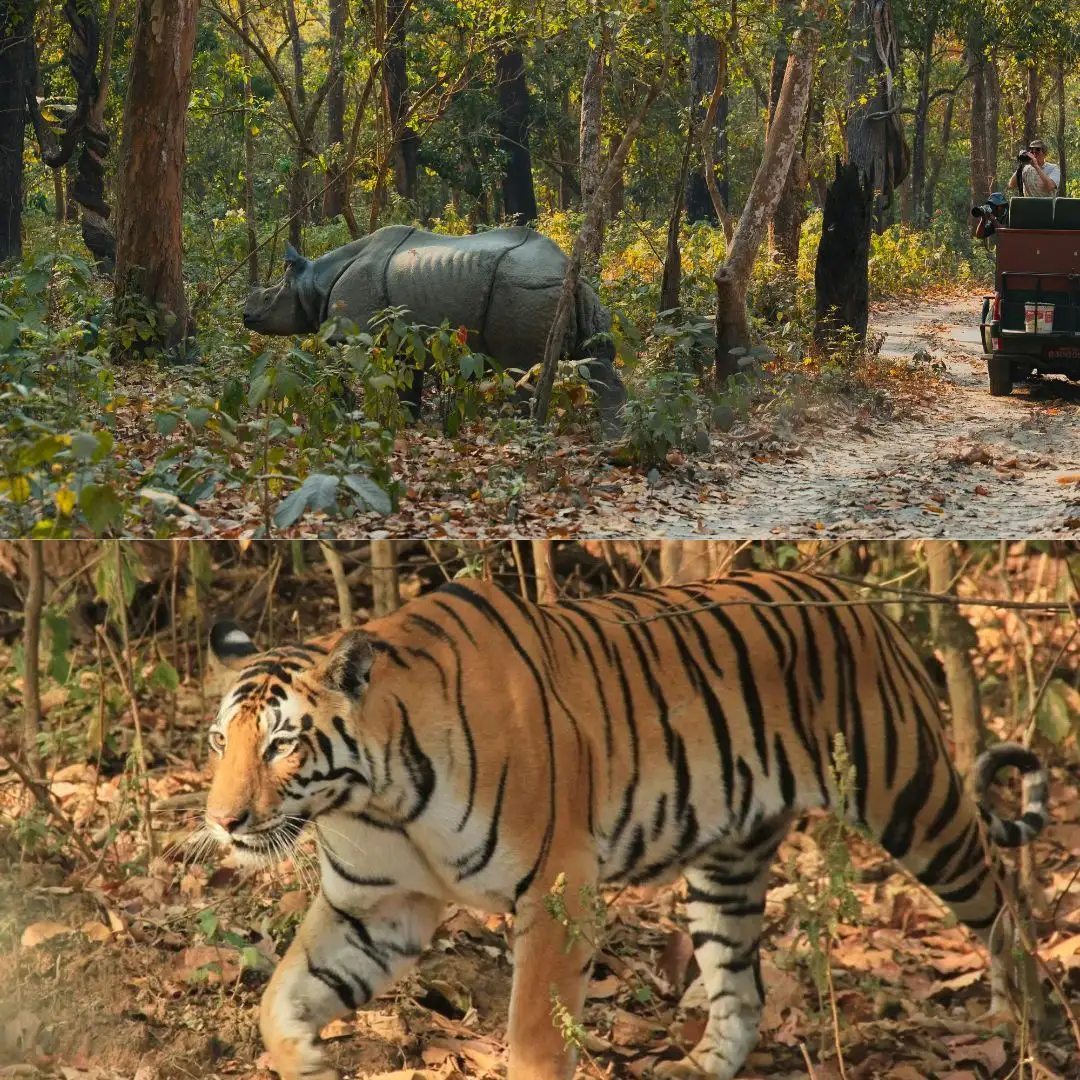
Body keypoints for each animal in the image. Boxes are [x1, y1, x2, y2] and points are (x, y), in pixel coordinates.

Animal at [202, 570, 1049, 1080]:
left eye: (280, 744)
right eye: (220, 743)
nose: (223, 820)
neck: (374, 794)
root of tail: (861, 599)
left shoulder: (558, 886)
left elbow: (536, 1037)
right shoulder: (378, 904)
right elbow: (282, 993)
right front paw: (308, 1059)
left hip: (915, 802)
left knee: (1004, 905)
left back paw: (1033, 1026)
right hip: (727, 869)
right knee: (741, 988)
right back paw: (699, 1066)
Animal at [243, 225, 625, 434]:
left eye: (269, 297)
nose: (245, 315)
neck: (313, 284)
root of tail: (568, 272)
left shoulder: (351, 335)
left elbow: (339, 375)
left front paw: (347, 418)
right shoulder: (404, 340)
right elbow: (409, 386)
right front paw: (408, 425)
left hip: (524, 288)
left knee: (521, 369)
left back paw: (521, 434)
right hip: (570, 291)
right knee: (597, 362)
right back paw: (615, 443)